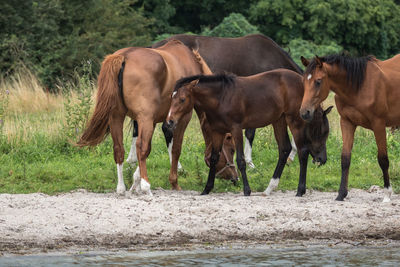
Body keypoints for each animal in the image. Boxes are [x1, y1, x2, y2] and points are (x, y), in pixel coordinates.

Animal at [76, 39, 238, 196]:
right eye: (231, 149)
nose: (235, 178)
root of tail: (124, 56)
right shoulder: (181, 118)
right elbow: (174, 149)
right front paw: (173, 182)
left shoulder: (152, 121)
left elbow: (146, 151)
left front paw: (135, 184)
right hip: (143, 119)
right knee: (140, 146)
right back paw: (146, 186)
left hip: (117, 117)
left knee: (119, 149)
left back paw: (121, 188)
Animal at [166, 70, 332, 197]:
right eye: (171, 98)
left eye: (182, 99)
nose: (170, 121)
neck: (221, 97)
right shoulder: (217, 132)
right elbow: (214, 158)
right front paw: (206, 189)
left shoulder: (236, 129)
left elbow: (240, 160)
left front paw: (247, 190)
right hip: (279, 120)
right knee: (284, 149)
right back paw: (269, 188)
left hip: (294, 121)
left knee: (302, 151)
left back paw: (300, 190)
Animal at [300, 53, 400, 202]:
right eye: (304, 82)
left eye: (318, 81)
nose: (304, 113)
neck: (358, 87)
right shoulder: (347, 123)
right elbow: (345, 158)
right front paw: (341, 194)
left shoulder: (379, 125)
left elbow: (383, 159)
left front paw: (387, 194)